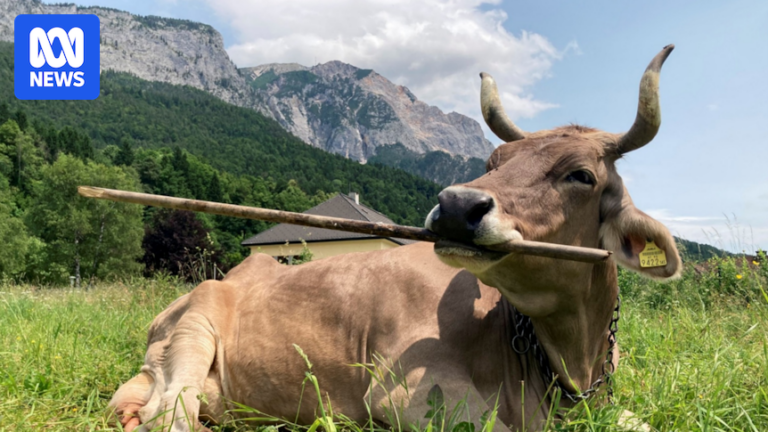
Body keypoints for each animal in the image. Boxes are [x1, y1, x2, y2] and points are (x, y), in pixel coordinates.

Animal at [108, 45, 681, 432]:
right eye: (494, 161)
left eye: (581, 175)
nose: (456, 206)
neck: (570, 364)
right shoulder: (408, 394)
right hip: (194, 329)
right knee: (168, 414)